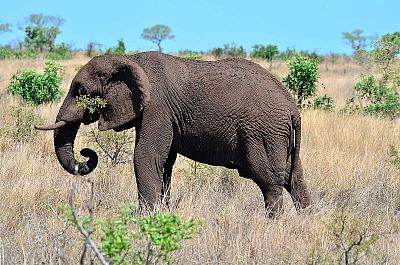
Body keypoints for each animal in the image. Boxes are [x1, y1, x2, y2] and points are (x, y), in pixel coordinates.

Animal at [36, 51, 312, 217]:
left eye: (81, 91)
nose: (86, 154)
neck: (130, 59)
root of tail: (292, 108)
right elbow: (165, 162)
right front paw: (162, 214)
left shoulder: (157, 108)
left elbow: (145, 157)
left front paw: (144, 219)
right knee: (295, 179)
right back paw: (305, 221)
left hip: (263, 132)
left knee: (270, 181)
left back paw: (272, 224)